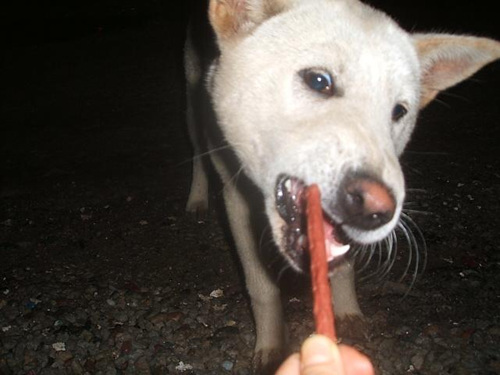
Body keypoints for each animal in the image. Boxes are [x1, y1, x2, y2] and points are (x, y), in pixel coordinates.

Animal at [184, 0, 500, 372]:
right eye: (318, 81)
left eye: (399, 111)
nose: (378, 210)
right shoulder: (236, 199)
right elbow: (261, 286)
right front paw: (272, 348)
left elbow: (344, 266)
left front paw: (347, 311)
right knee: (196, 152)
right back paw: (196, 198)